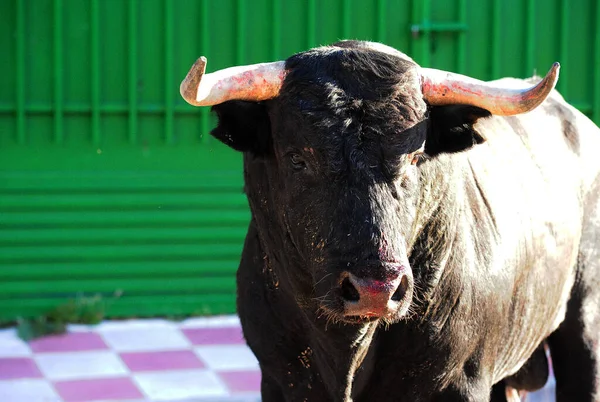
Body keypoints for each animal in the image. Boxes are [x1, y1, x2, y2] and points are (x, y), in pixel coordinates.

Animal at [179, 41, 600, 402]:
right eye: (299, 158)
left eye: (415, 157)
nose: (375, 289)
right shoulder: (278, 379)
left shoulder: (464, 379)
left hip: (586, 330)